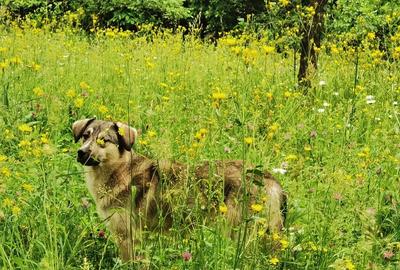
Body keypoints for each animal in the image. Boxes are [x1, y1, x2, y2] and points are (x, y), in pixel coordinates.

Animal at [72, 118, 288, 262]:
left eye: (104, 140)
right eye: (85, 136)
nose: (81, 152)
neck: (119, 170)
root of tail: (269, 177)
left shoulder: (129, 238)